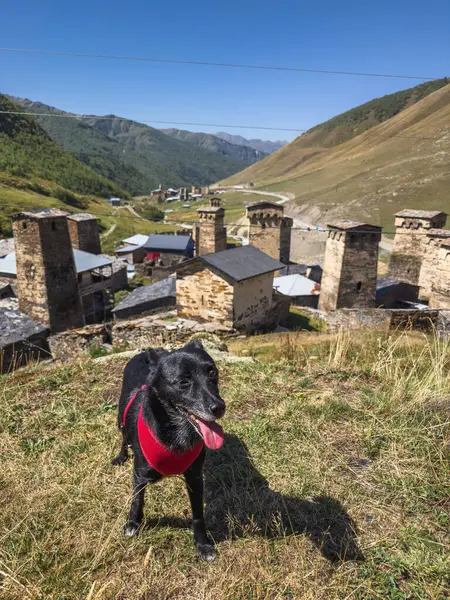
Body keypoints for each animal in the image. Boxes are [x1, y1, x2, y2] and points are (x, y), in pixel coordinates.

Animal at [112, 342, 225, 564]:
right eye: (183, 382)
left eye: (212, 372)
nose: (219, 407)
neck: (175, 431)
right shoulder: (139, 473)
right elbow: (137, 500)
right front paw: (133, 524)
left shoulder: (194, 477)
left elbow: (198, 514)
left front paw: (203, 544)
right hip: (121, 417)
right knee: (123, 437)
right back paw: (121, 456)